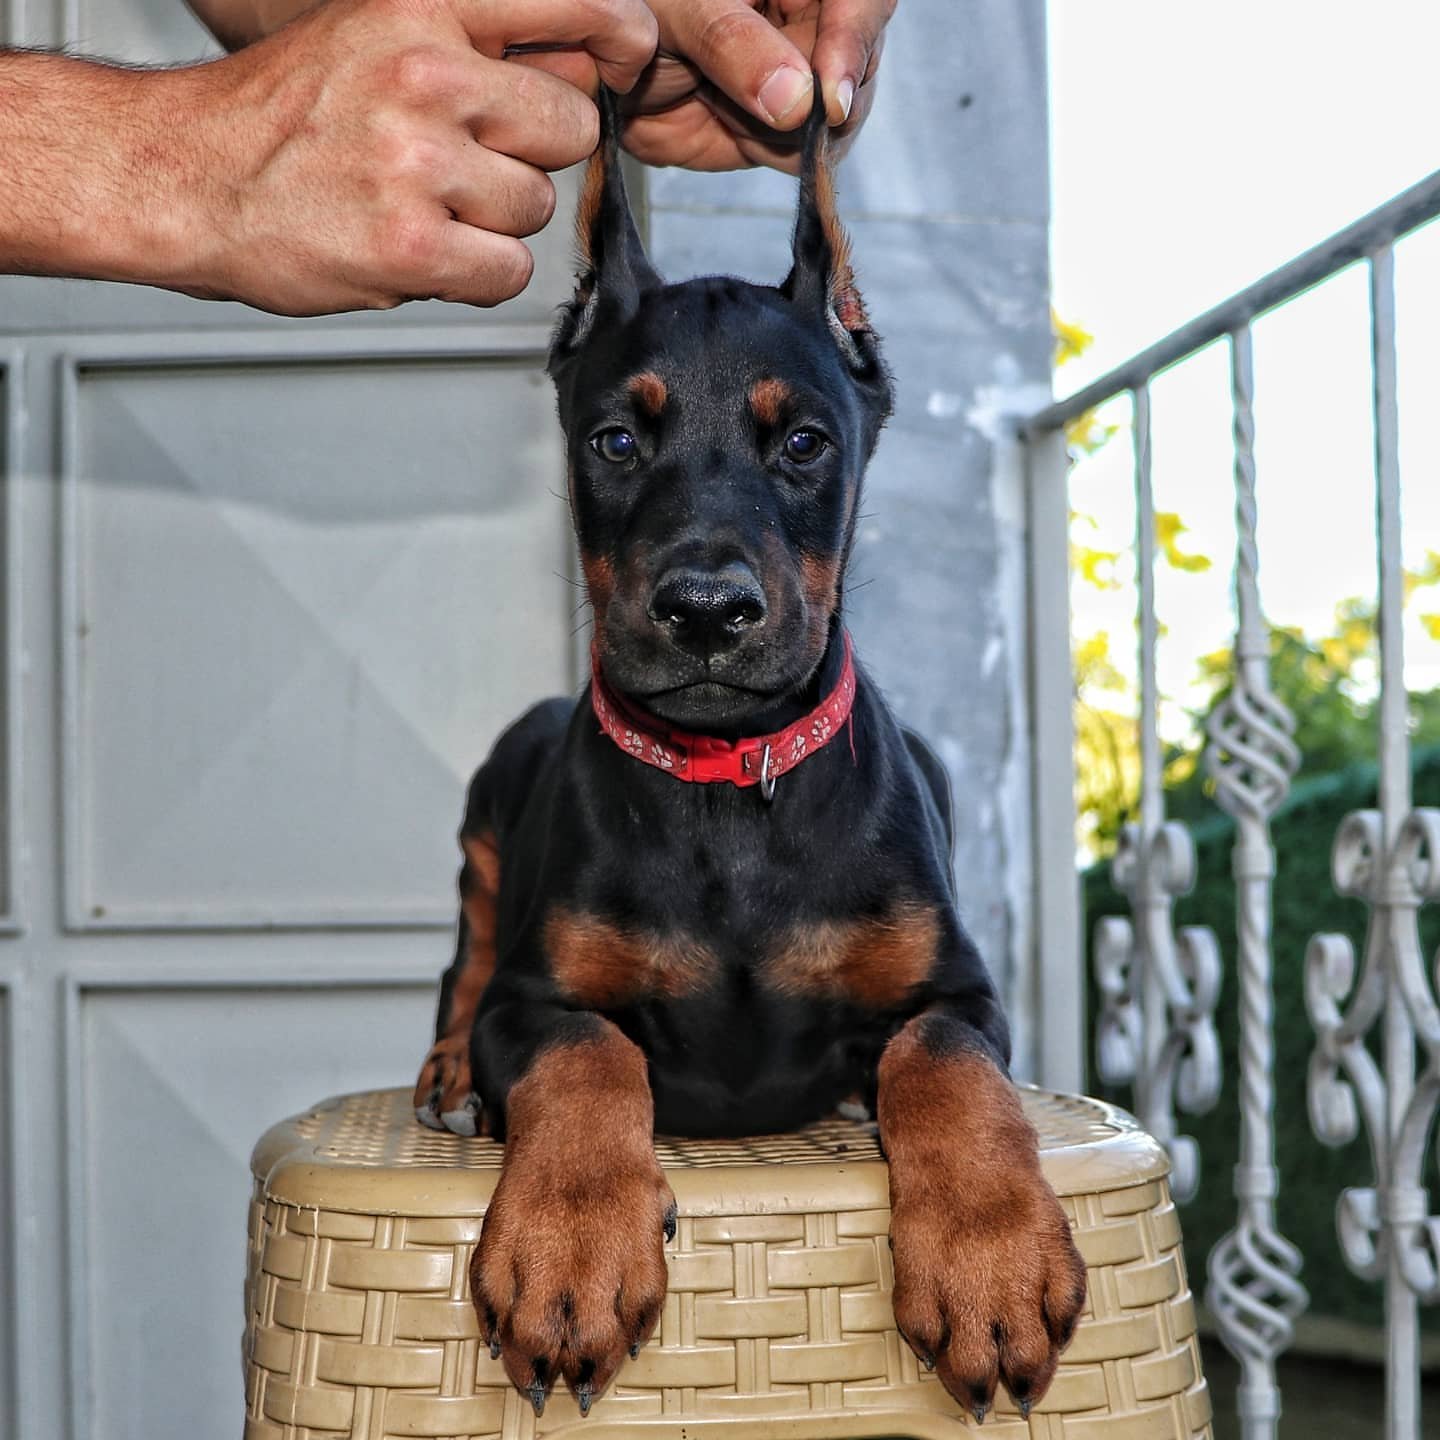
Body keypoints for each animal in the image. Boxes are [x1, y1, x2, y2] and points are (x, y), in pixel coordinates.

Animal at [412, 89, 1087, 1425]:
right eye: (616, 441)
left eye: (807, 443)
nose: (707, 610)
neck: (728, 782)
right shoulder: (538, 995)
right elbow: (587, 1050)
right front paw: (568, 1249)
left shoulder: (960, 990)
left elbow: (943, 1061)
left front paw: (991, 1261)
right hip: (491, 809)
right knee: (464, 953)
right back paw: (450, 1070)